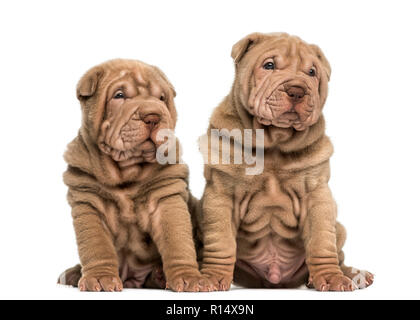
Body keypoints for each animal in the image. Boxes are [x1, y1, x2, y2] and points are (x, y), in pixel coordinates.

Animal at [58, 58, 209, 292]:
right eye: (119, 95)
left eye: (161, 98)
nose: (153, 116)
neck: (127, 170)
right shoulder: (89, 201)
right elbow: (96, 246)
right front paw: (100, 278)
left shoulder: (167, 198)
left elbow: (178, 242)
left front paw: (189, 278)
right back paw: (74, 274)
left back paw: (160, 276)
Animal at [199, 33, 376, 292]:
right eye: (269, 65)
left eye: (312, 72)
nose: (296, 90)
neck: (275, 143)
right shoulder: (222, 196)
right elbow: (221, 242)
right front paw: (211, 276)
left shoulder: (317, 197)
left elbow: (322, 242)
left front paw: (331, 277)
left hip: (339, 228)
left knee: (338, 252)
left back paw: (352, 274)